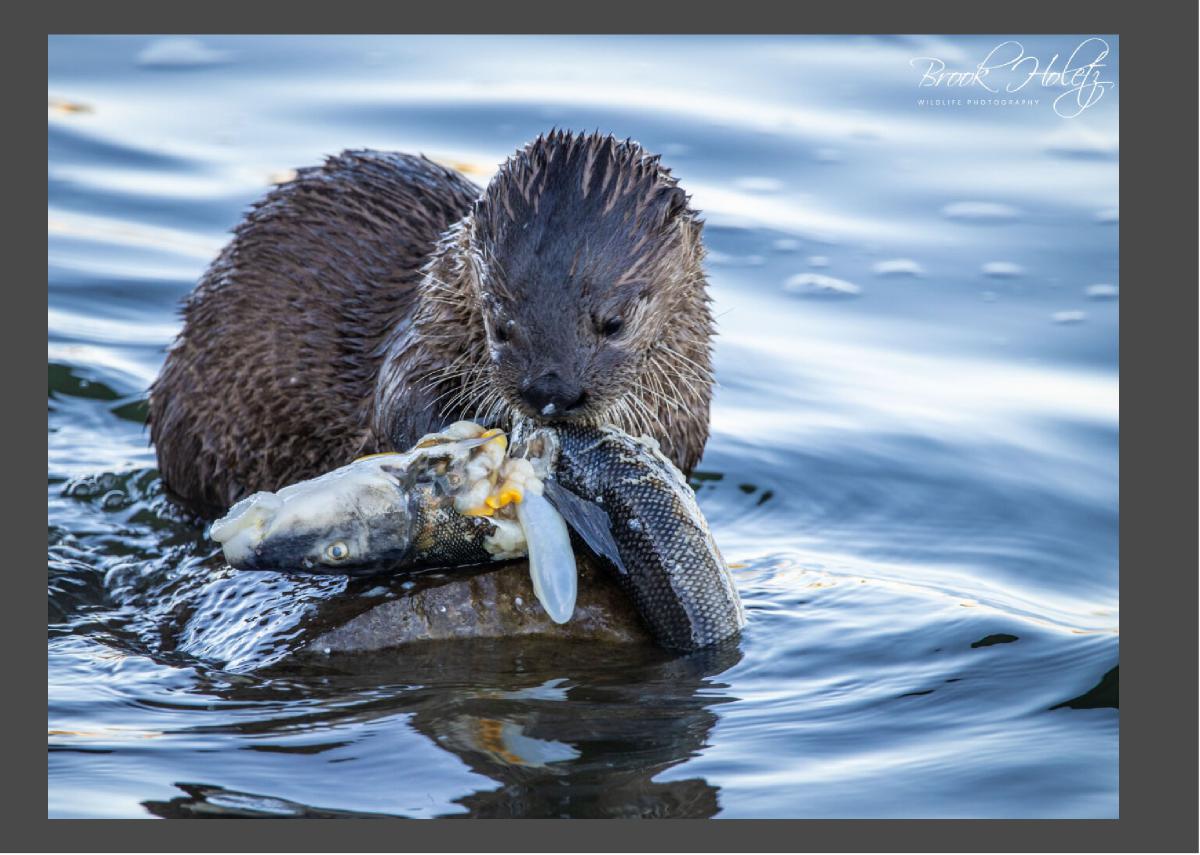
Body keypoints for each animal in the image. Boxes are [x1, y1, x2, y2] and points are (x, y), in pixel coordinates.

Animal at [149, 130, 714, 518]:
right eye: (499, 322)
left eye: (614, 322)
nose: (550, 391)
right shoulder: (421, 331)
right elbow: (399, 408)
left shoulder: (688, 397)